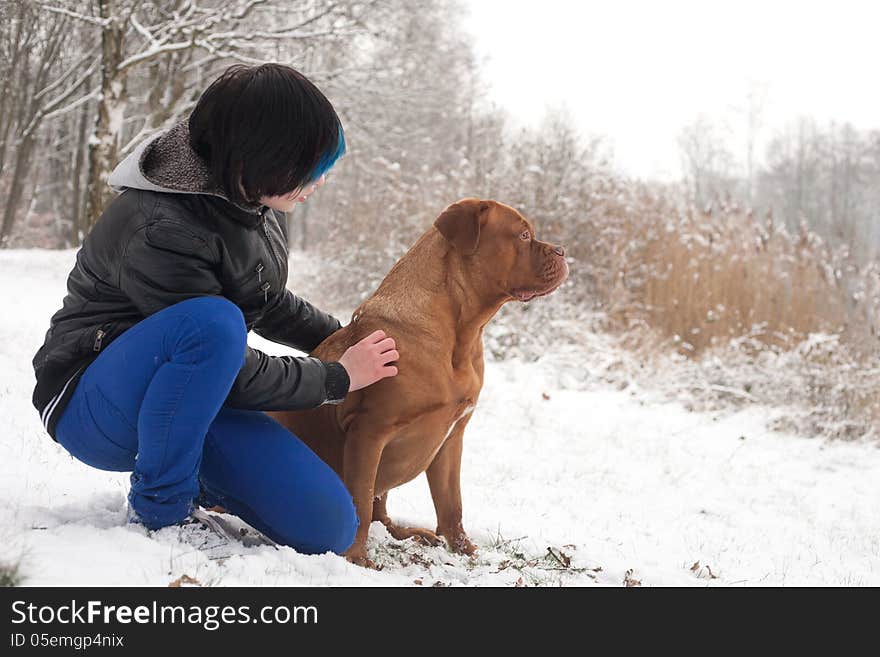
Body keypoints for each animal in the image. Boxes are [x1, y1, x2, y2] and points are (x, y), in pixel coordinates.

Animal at [268, 197, 572, 568]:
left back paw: (410, 534)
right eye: (523, 234)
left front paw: (466, 551)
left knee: (381, 513)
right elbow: (358, 500)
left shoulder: (452, 437)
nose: (561, 250)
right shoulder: (369, 432)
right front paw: (356, 559)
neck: (460, 334)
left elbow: (451, 504)